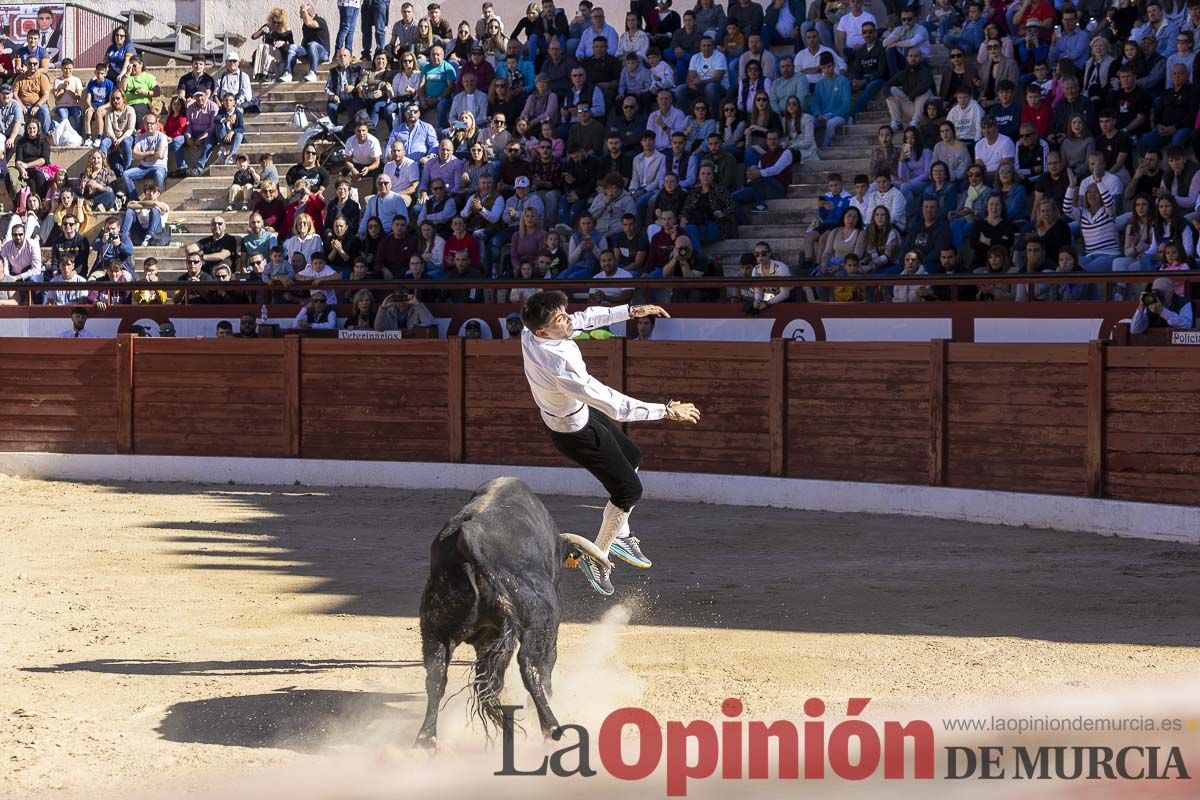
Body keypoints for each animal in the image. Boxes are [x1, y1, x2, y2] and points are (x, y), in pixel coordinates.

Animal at [417, 479, 571, 748]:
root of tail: (469, 541)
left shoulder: (487, 638)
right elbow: (547, 664)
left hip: (434, 627)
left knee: (436, 676)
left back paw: (425, 739)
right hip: (541, 622)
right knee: (531, 666)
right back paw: (551, 728)